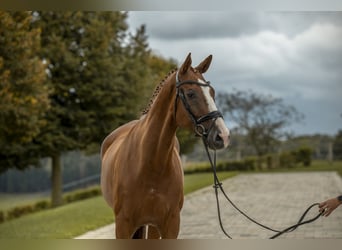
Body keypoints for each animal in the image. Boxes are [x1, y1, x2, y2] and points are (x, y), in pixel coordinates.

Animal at [101, 53, 230, 239]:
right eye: (191, 94)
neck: (150, 163)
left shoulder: (170, 224)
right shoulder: (123, 226)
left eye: (212, 93)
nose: (223, 136)